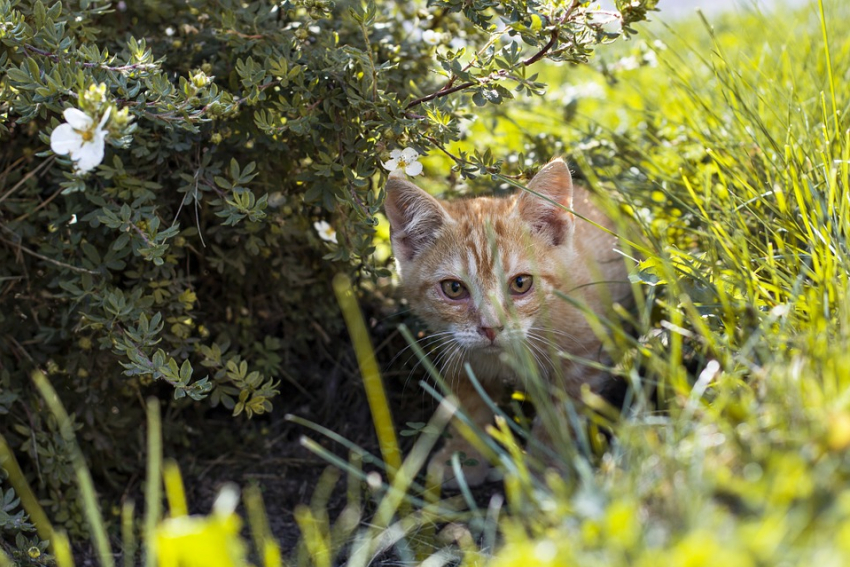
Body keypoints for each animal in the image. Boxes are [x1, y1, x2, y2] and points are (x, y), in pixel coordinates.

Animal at [384, 158, 628, 486]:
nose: (491, 327)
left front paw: (546, 473)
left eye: (521, 283)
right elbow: (470, 405)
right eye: (454, 288)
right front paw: (463, 457)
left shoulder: (584, 358)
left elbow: (559, 419)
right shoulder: (460, 353)